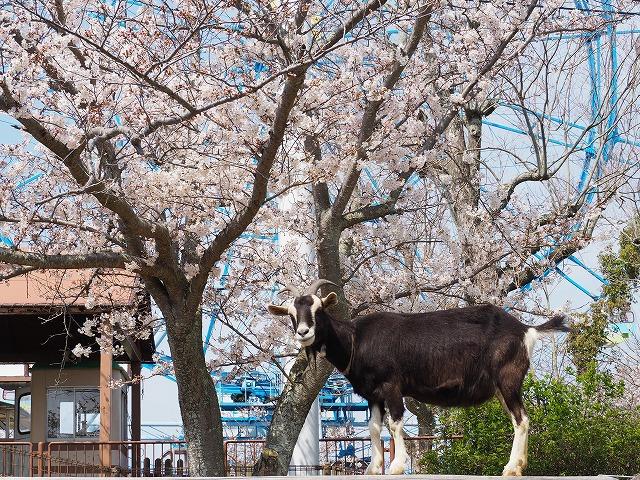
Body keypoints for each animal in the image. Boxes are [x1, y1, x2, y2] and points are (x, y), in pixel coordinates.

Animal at [268, 280, 568, 474]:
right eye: (291, 314)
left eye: (318, 309)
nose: (304, 332)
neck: (356, 338)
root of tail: (525, 329)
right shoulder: (372, 393)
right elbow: (374, 428)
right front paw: (374, 468)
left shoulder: (391, 386)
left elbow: (395, 424)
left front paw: (397, 466)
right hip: (501, 387)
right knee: (519, 419)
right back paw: (519, 465)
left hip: (508, 379)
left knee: (522, 419)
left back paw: (511, 468)